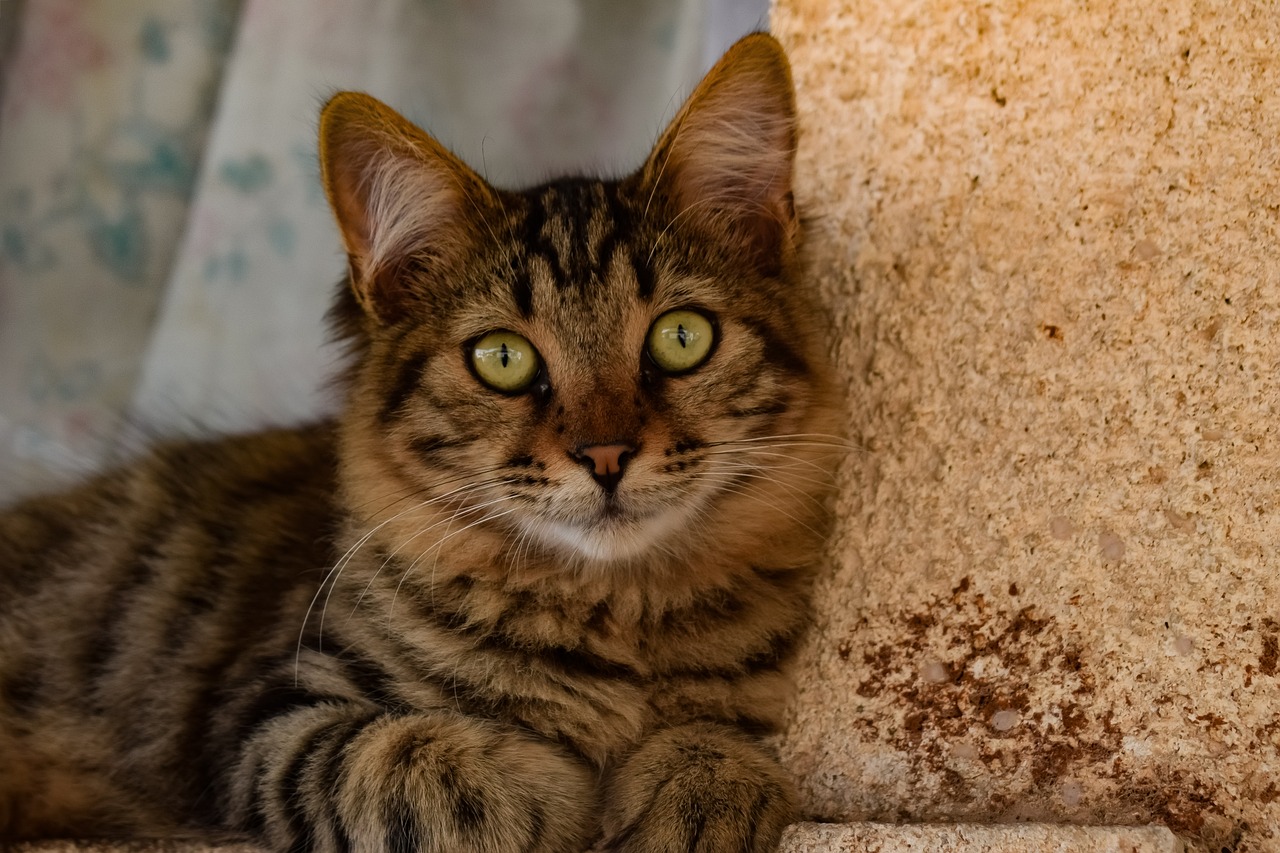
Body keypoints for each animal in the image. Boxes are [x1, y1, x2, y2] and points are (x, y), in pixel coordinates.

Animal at [0, 33, 839, 850]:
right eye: (503, 358)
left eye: (681, 338)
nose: (605, 455)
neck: (611, 608)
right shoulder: (267, 713)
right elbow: (411, 760)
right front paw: (560, 789)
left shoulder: (752, 704)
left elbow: (719, 745)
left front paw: (688, 799)